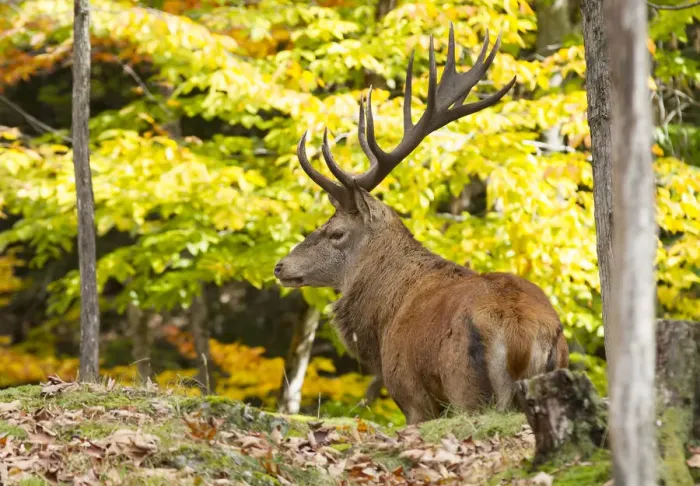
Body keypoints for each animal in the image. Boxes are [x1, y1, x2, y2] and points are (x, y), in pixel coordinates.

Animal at [274, 26, 569, 425]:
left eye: (336, 232)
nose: (281, 266)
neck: (384, 319)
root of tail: (521, 333)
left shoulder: (411, 395)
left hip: (466, 391)